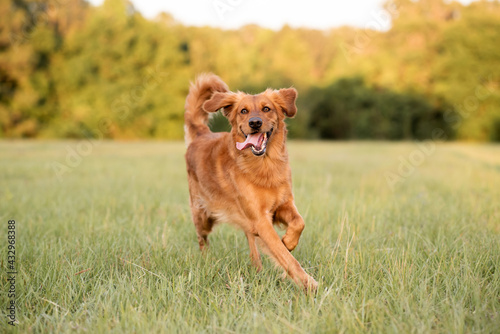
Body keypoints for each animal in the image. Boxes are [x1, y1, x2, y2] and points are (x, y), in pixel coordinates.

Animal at [183, 73, 316, 290]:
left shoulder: (282, 205)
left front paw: (289, 241)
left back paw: (257, 268)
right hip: (202, 215)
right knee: (202, 240)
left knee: (250, 239)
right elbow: (285, 256)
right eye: (243, 111)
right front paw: (308, 283)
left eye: (266, 108)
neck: (265, 165)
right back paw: (207, 261)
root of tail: (203, 134)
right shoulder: (261, 219)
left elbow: (299, 222)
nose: (254, 123)